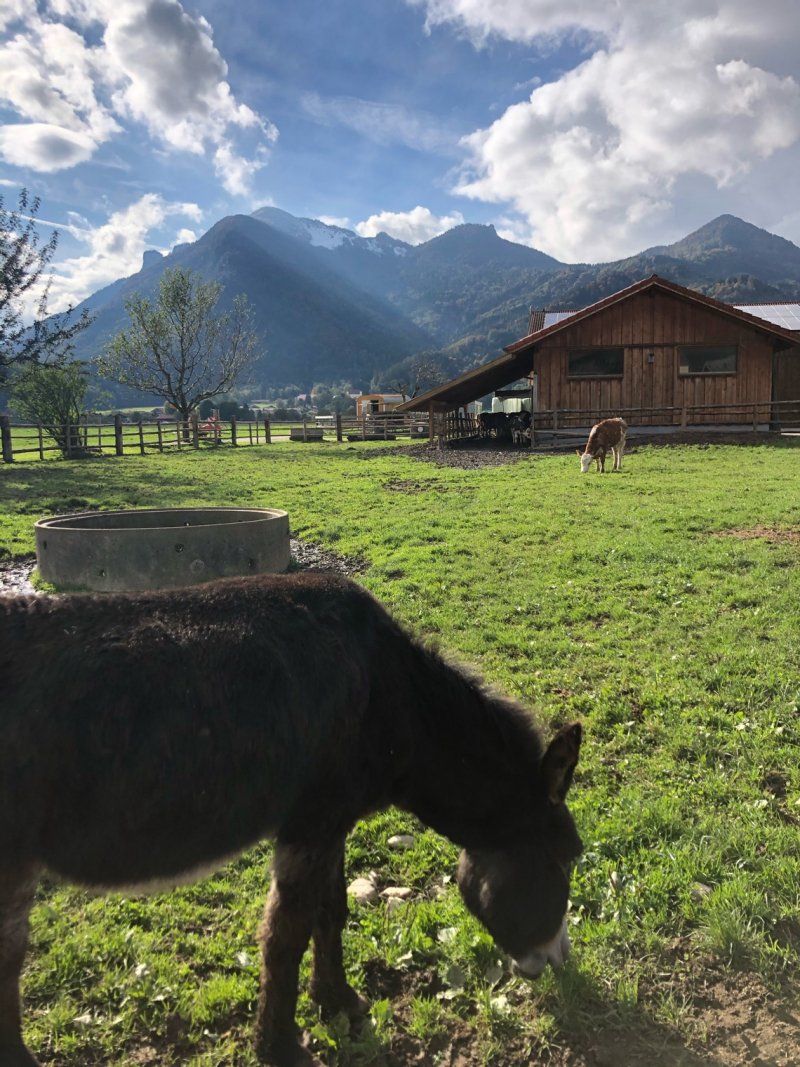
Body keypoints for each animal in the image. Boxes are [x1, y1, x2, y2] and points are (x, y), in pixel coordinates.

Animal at [0, 573, 583, 1066]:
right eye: (565, 860)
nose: (555, 961)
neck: (391, 693)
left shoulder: (333, 822)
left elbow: (332, 910)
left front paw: (337, 1000)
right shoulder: (309, 823)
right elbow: (285, 936)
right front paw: (279, 1046)